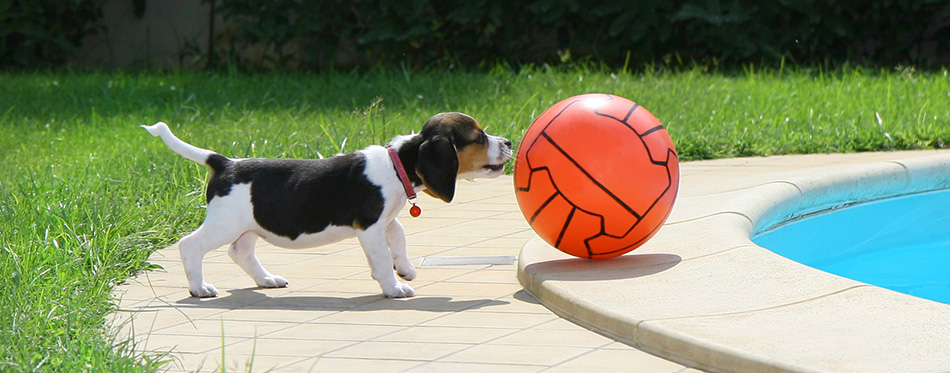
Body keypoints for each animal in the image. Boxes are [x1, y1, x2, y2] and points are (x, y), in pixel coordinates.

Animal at [143, 112, 512, 298]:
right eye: (479, 137)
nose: (508, 141)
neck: (398, 164)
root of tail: (225, 163)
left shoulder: (385, 220)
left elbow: (400, 235)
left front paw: (404, 267)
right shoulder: (370, 227)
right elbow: (381, 257)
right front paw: (394, 286)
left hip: (249, 225)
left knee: (240, 252)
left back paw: (266, 280)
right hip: (224, 224)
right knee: (191, 246)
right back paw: (198, 288)